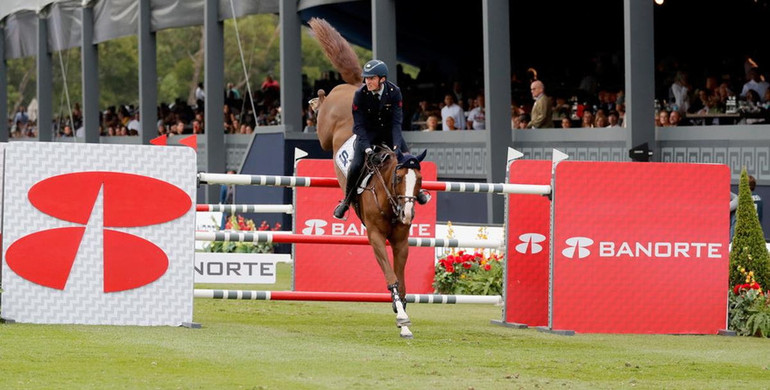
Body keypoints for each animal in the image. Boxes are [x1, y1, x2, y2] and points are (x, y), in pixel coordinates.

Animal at [308, 17, 426, 338]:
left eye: (419, 182)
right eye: (398, 180)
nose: (408, 212)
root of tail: (355, 85)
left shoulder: (400, 240)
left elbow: (402, 279)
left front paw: (403, 313)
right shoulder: (374, 236)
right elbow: (390, 277)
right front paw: (401, 317)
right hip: (326, 134)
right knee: (322, 116)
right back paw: (315, 100)